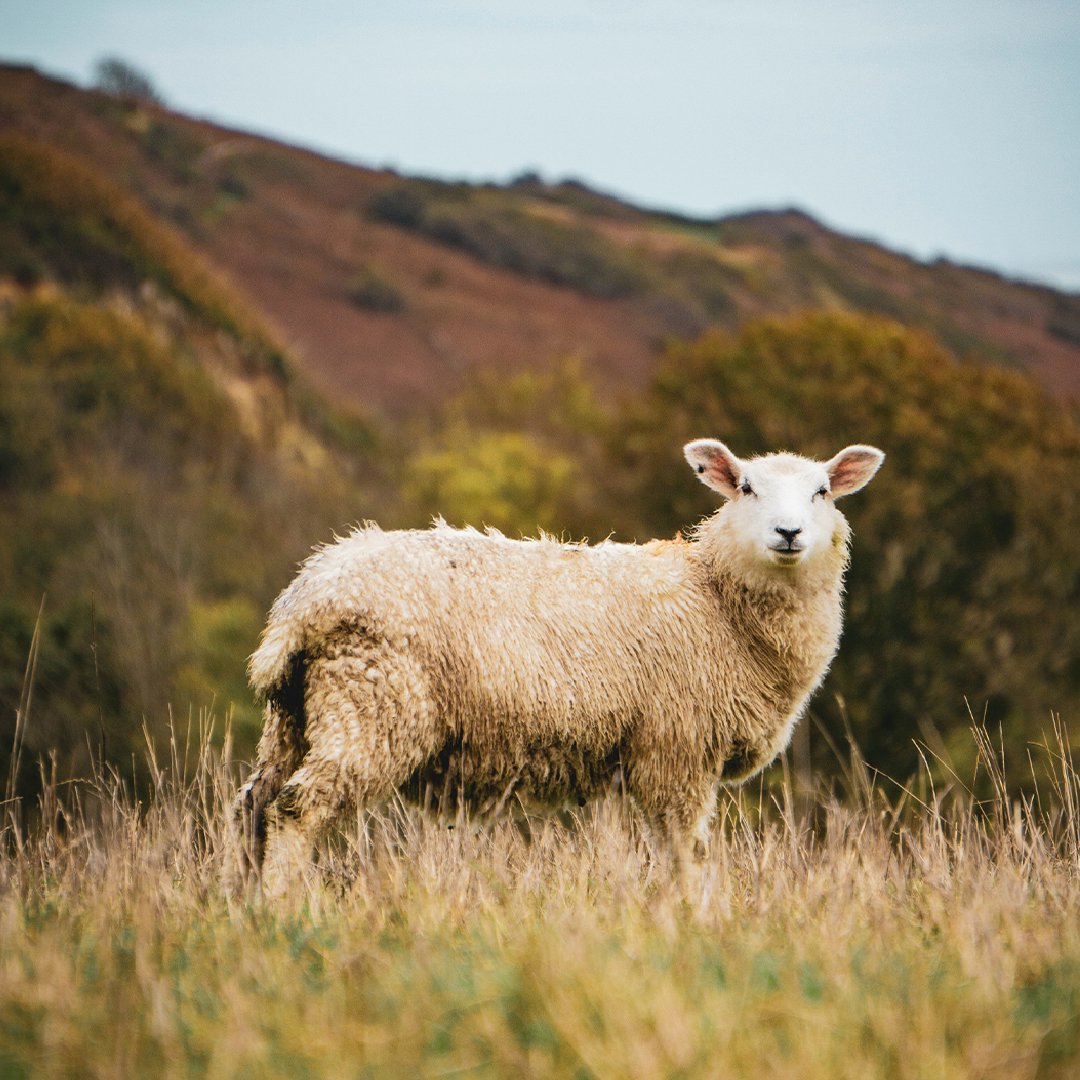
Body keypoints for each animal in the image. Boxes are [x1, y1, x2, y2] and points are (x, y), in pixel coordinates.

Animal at [235, 439, 884, 891]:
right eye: (746, 487)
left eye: (823, 492)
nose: (789, 532)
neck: (714, 598)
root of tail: (306, 595)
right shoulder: (676, 751)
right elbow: (686, 854)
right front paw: (692, 920)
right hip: (372, 703)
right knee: (297, 809)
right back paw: (284, 910)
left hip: (295, 715)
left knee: (254, 805)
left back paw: (245, 903)